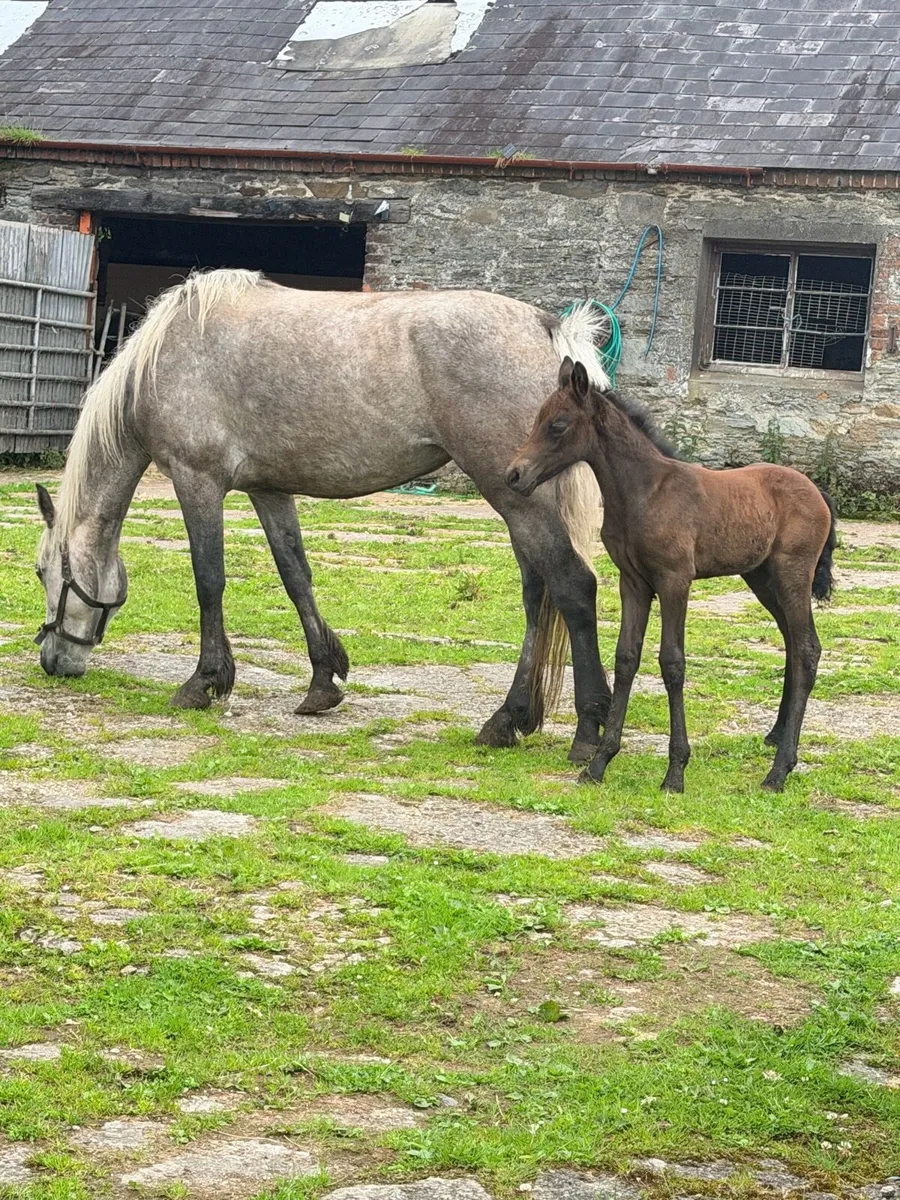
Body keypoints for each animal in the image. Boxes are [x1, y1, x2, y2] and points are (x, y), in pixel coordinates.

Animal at [34, 271, 614, 762]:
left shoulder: (196, 480)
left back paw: (586, 730)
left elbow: (209, 579)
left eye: (43, 573)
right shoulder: (269, 490)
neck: (166, 355)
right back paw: (510, 719)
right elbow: (296, 575)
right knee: (538, 595)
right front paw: (322, 681)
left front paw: (206, 681)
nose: (52, 662)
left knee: (571, 586)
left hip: (515, 496)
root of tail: (545, 328)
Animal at [505, 358, 836, 793]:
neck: (644, 491)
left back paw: (779, 770)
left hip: (792, 575)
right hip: (762, 579)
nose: (514, 475)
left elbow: (672, 663)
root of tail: (817, 492)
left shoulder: (674, 581)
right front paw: (599, 762)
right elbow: (626, 658)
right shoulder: (633, 583)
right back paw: (776, 737)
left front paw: (675, 771)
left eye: (558, 424)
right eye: (536, 420)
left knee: (807, 649)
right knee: (793, 646)